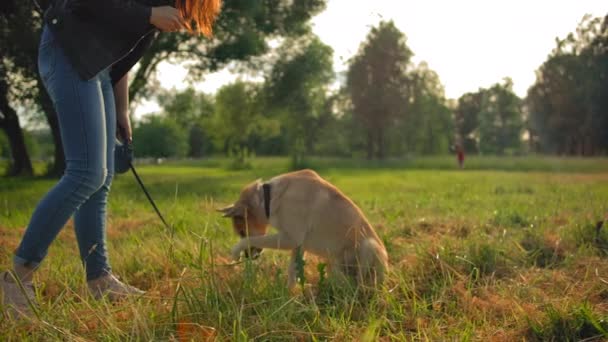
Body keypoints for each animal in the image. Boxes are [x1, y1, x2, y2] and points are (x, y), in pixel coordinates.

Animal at [220, 169, 390, 288]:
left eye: (242, 232)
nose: (249, 256)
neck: (269, 198)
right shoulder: (298, 245)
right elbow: (292, 271)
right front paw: (288, 294)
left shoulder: (290, 239)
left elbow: (251, 239)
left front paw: (235, 251)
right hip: (334, 263)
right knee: (344, 280)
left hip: (370, 246)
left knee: (362, 282)